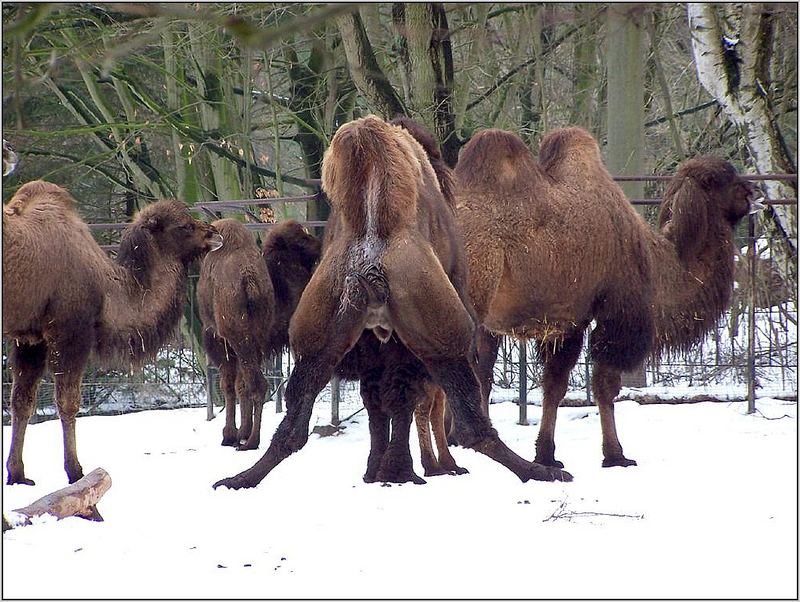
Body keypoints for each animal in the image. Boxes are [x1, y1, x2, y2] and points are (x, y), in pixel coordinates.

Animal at [3, 180, 222, 486]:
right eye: (184, 226)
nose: (215, 233)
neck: (106, 286)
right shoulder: (70, 331)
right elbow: (68, 403)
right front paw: (75, 471)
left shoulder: (29, 338)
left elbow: (22, 401)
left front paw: (18, 475)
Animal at [198, 218, 320, 448]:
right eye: (301, 239)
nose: (317, 246)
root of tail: (249, 281)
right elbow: (240, 386)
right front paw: (240, 432)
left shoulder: (223, 345)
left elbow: (230, 386)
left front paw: (229, 435)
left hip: (240, 341)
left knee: (259, 384)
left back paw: (252, 441)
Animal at [212, 115, 568, 490]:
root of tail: (371, 249)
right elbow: (400, 401)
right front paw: (395, 471)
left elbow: (380, 406)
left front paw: (378, 471)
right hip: (449, 336)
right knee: (470, 422)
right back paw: (543, 472)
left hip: (316, 341)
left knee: (295, 423)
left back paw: (238, 478)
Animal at [454, 126, 760, 468]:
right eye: (728, 179)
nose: (755, 192)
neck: (658, 260)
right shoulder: (617, 314)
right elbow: (605, 385)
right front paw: (616, 455)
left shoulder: (567, 322)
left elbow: (554, 385)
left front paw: (546, 454)